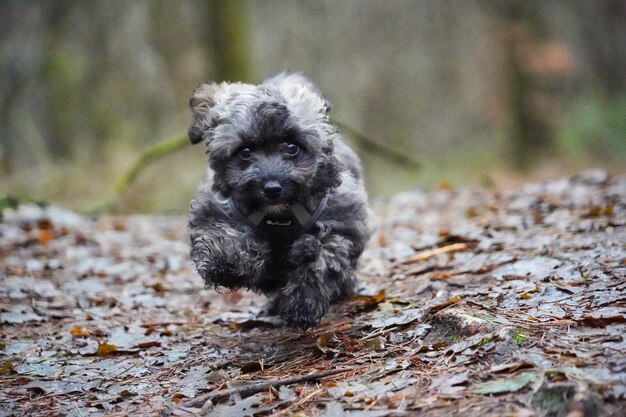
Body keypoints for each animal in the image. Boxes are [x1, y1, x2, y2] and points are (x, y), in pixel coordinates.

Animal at [185, 74, 370, 328]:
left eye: (292, 147)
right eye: (245, 151)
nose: (272, 188)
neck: (279, 216)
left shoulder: (342, 224)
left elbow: (322, 260)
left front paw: (303, 303)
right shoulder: (214, 211)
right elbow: (225, 234)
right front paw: (226, 263)